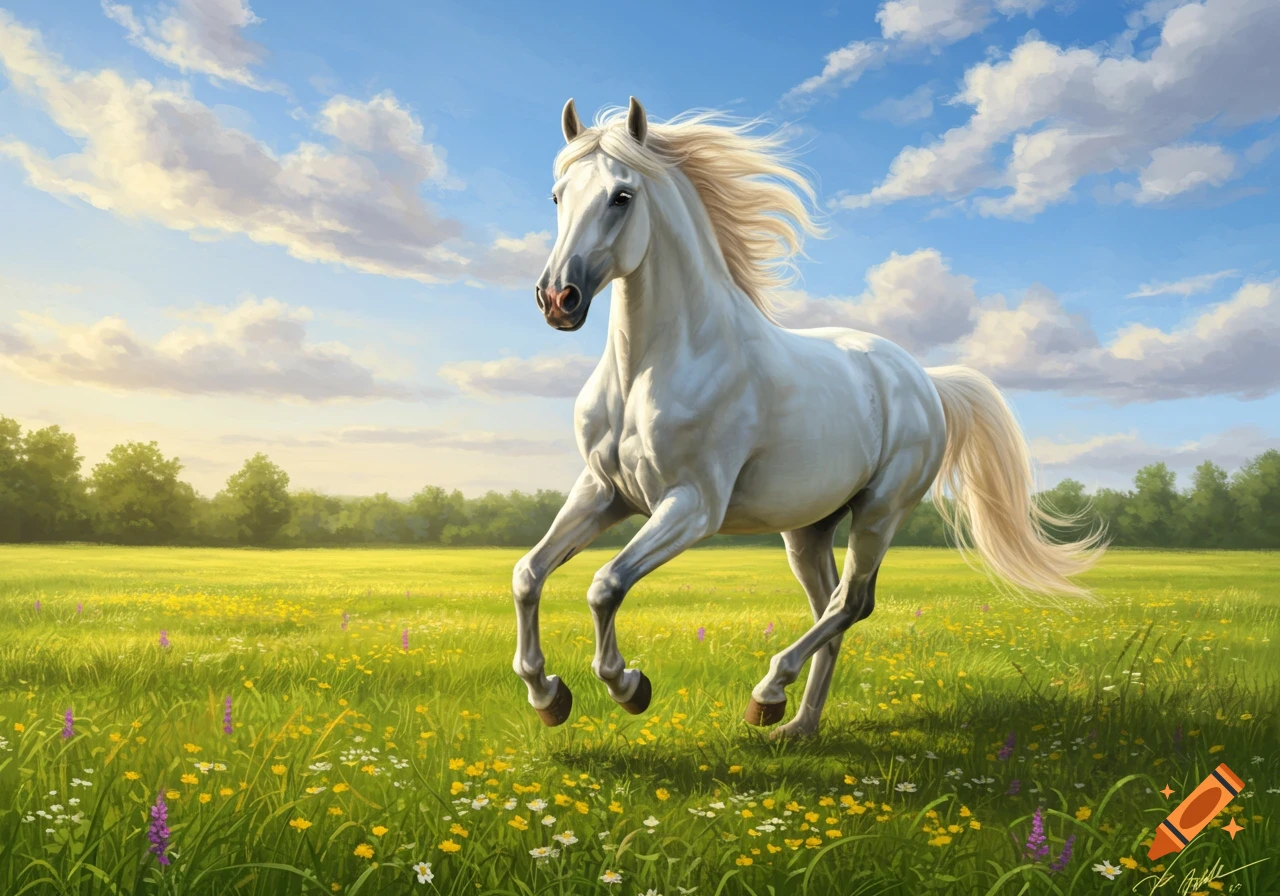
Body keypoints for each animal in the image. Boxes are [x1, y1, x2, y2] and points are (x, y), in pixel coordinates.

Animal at [511, 96, 1104, 738]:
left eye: (621, 196)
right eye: (556, 196)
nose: (557, 299)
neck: (652, 367)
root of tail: (925, 380)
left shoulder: (692, 505)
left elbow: (606, 585)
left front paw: (629, 687)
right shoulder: (604, 492)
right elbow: (528, 573)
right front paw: (548, 696)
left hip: (879, 511)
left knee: (852, 603)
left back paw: (768, 694)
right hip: (808, 528)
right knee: (829, 611)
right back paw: (797, 727)